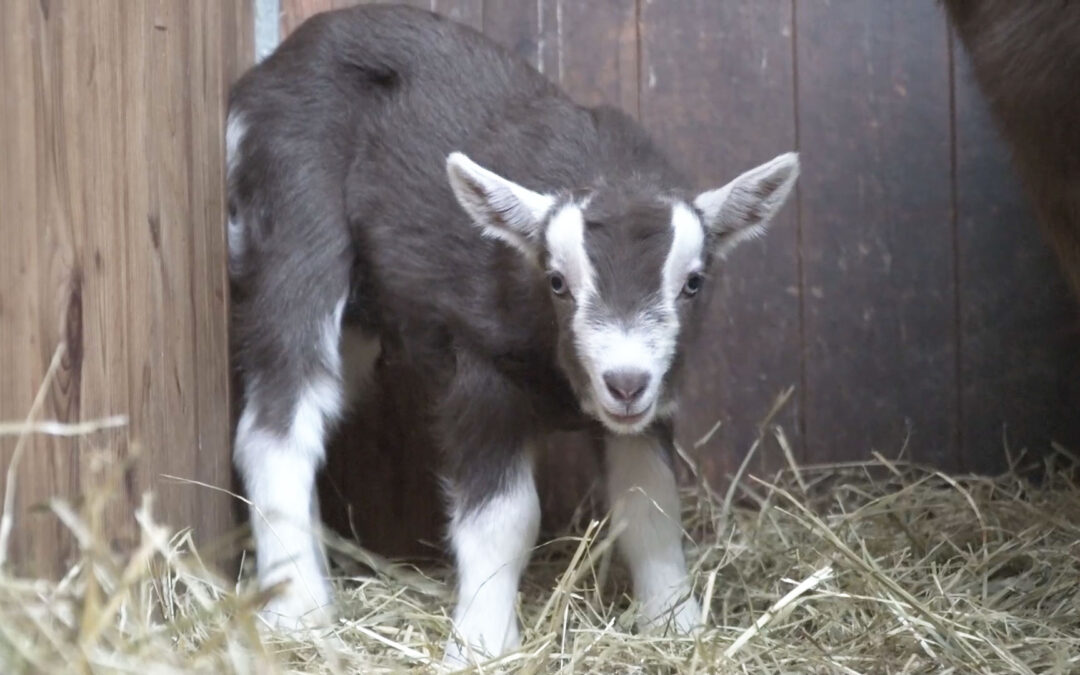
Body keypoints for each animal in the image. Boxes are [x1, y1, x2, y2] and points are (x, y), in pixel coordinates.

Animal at [225, 2, 803, 660]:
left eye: (694, 282)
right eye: (556, 281)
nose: (624, 381)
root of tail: (270, 68)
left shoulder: (651, 404)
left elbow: (650, 501)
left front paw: (676, 624)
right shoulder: (480, 371)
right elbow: (504, 517)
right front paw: (480, 644)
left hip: (363, 314)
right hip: (292, 212)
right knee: (278, 414)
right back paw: (298, 611)